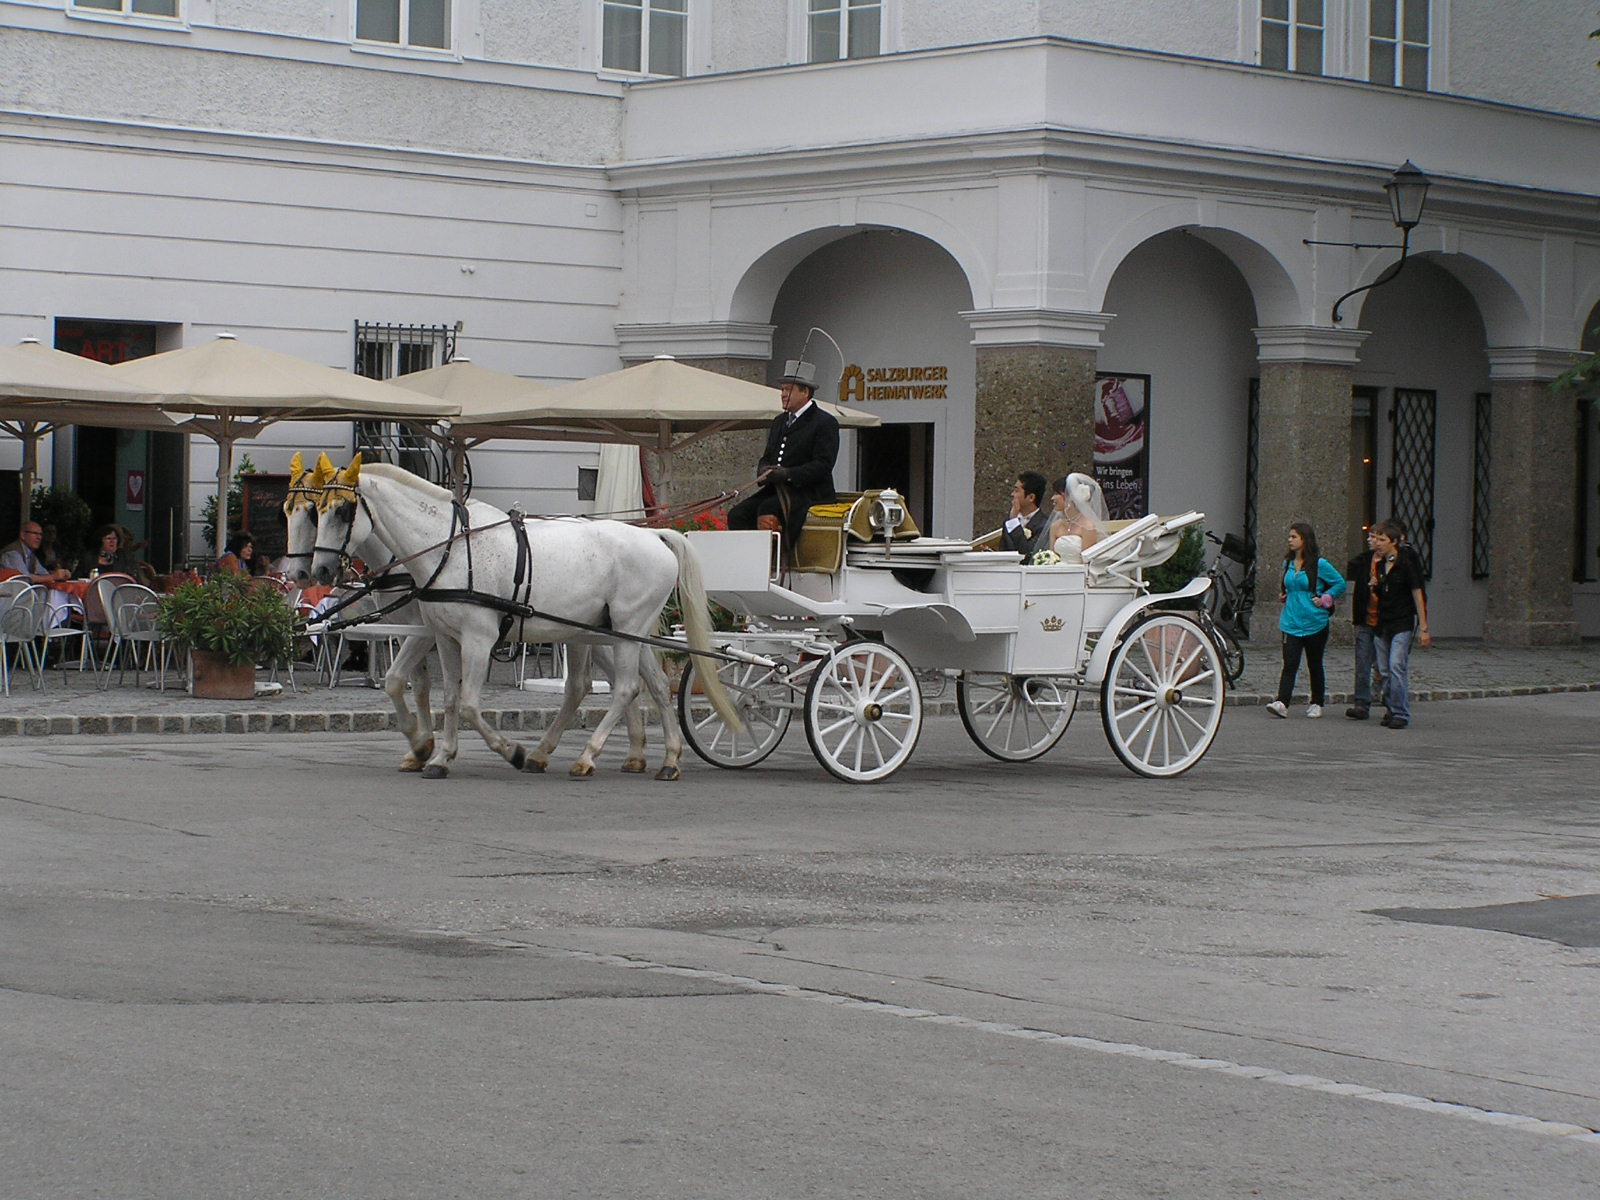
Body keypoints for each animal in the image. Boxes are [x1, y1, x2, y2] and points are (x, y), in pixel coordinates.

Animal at [308, 457, 739, 780]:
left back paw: (586, 755)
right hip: (617, 631)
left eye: (344, 510)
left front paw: (507, 750)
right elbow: (450, 699)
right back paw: (666, 759)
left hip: (626, 630)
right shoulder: (445, 638)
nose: (320, 570)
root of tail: (655, 536)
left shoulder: (477, 638)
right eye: (317, 511)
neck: (452, 550)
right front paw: (440, 757)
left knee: (626, 688)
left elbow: (469, 704)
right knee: (652, 686)